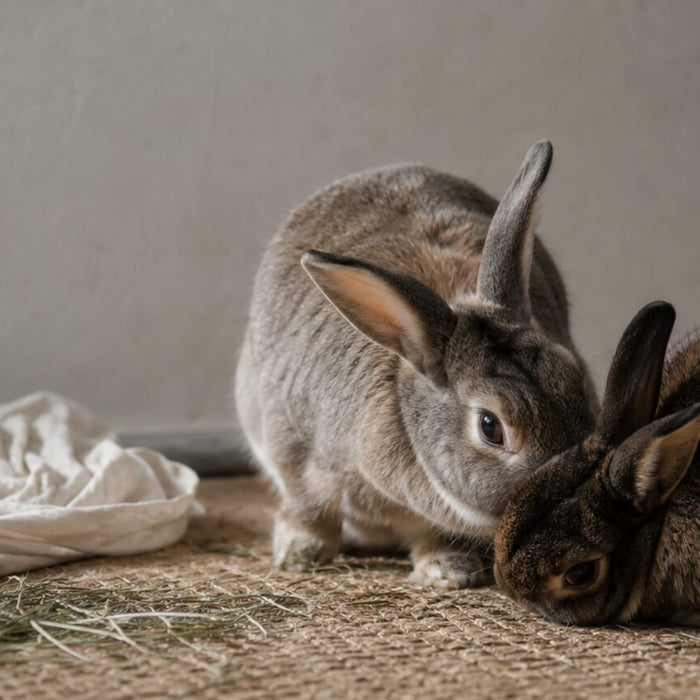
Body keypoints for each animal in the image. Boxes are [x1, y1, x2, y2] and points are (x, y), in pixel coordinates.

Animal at [235, 141, 598, 588]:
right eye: (490, 427)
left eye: (577, 383)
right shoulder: (295, 448)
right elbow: (309, 505)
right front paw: (300, 553)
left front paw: (449, 569)